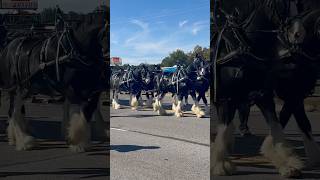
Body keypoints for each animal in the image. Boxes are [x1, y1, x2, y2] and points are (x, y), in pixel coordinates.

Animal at [0, 11, 108, 152]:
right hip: (15, 87)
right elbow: (80, 113)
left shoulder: (92, 89)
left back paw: (16, 138)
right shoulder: (72, 89)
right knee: (13, 111)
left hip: (26, 88)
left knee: (17, 110)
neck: (76, 50)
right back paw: (23, 141)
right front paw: (76, 142)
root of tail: (7, 46)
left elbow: (89, 111)